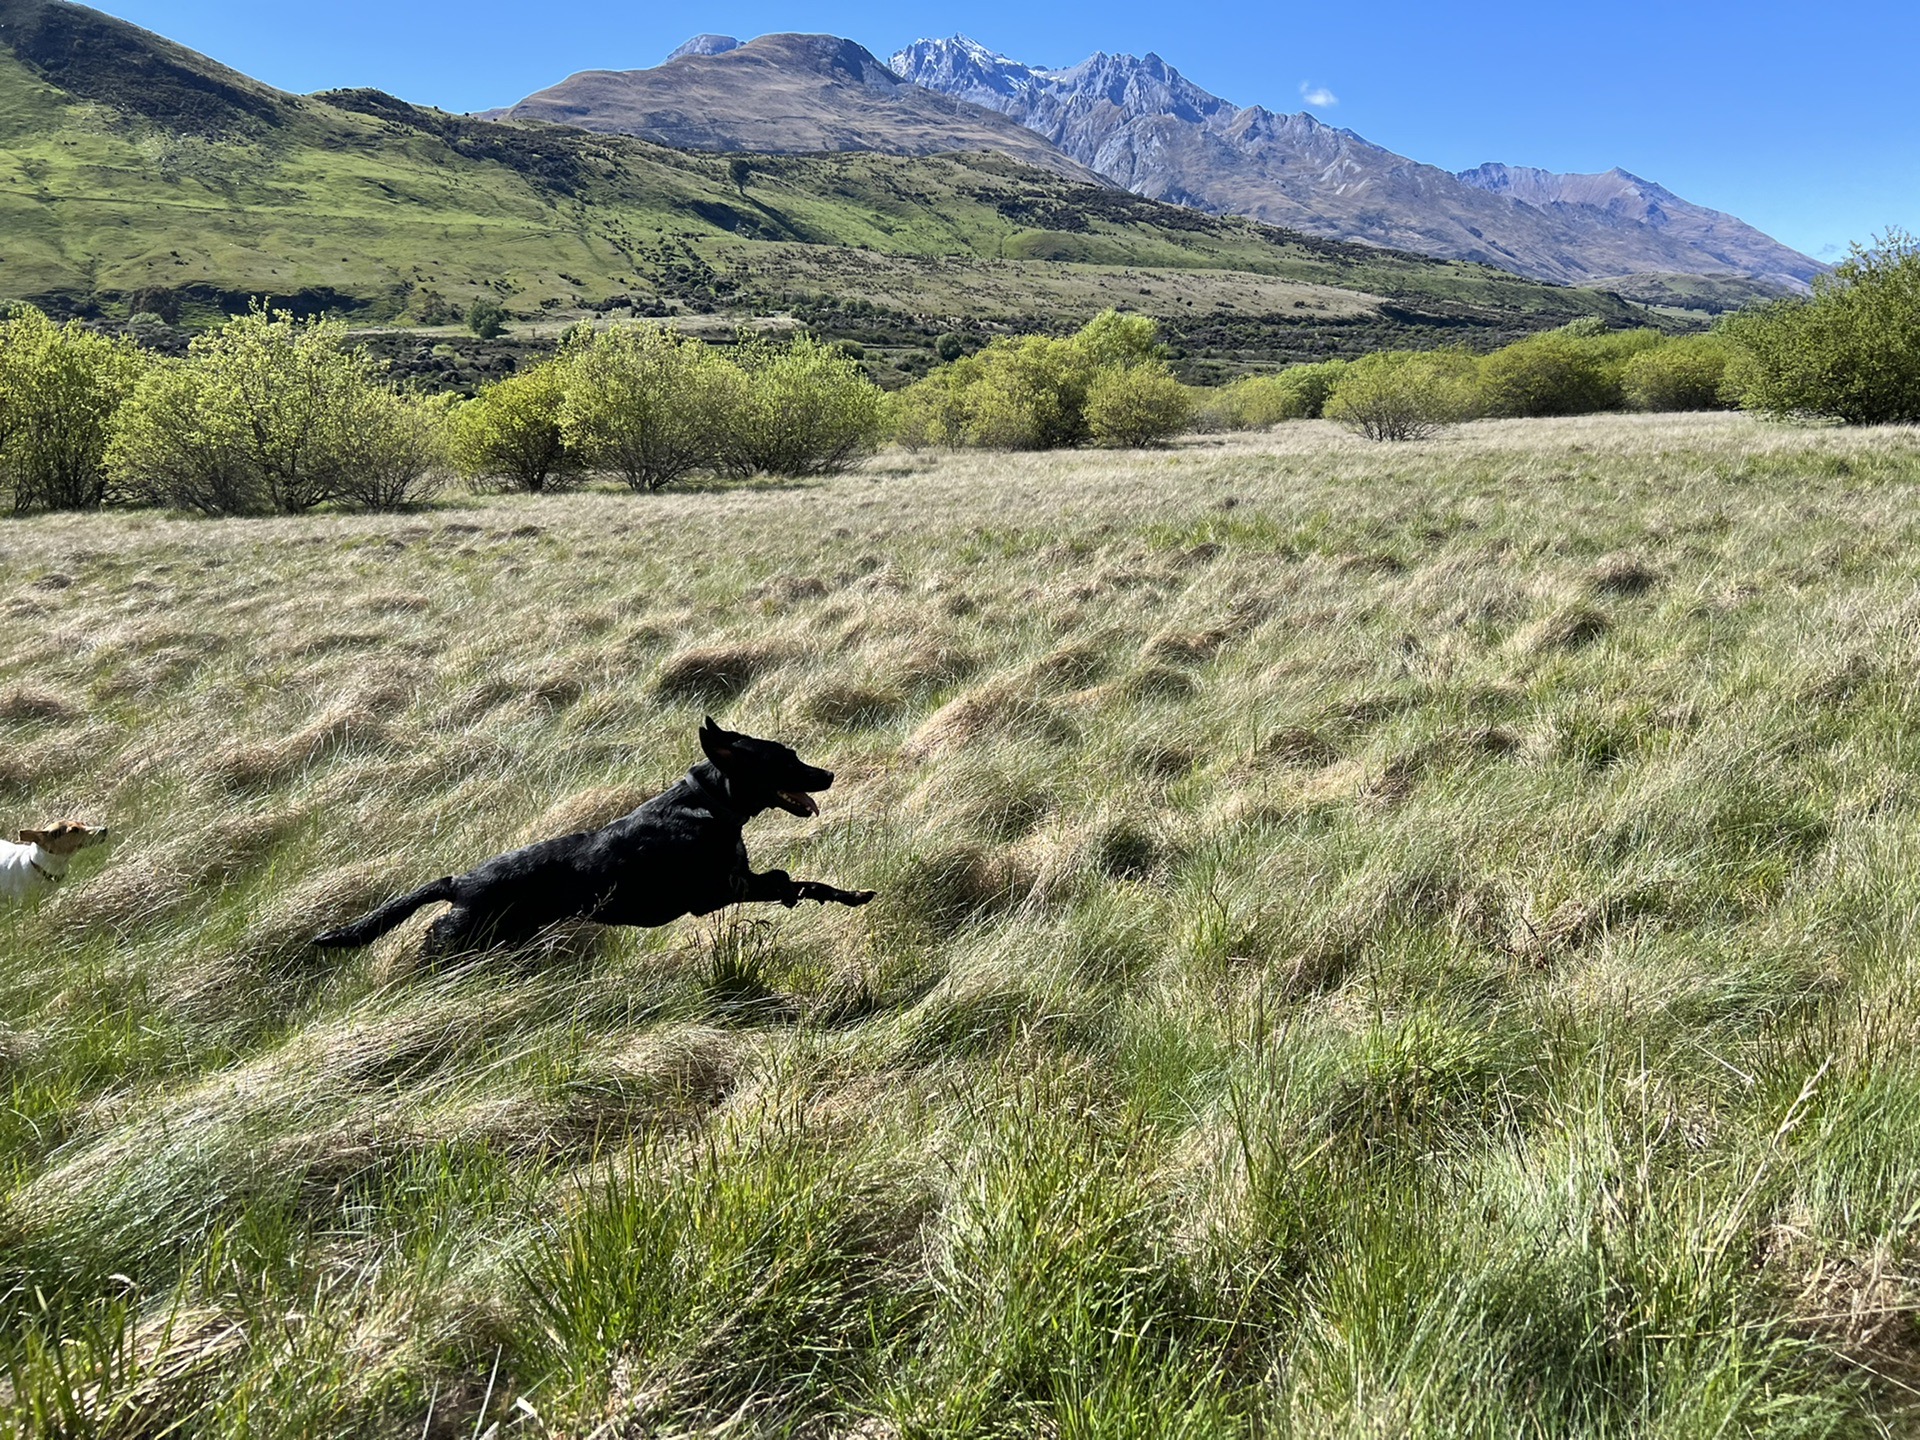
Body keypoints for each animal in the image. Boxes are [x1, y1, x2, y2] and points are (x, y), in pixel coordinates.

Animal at [314, 721, 879, 960]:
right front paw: (838, 896)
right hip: (461, 938)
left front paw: (848, 895)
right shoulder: (716, 892)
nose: (828, 775)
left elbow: (800, 883)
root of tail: (458, 882)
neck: (709, 804)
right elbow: (794, 881)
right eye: (787, 760)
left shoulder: (739, 880)